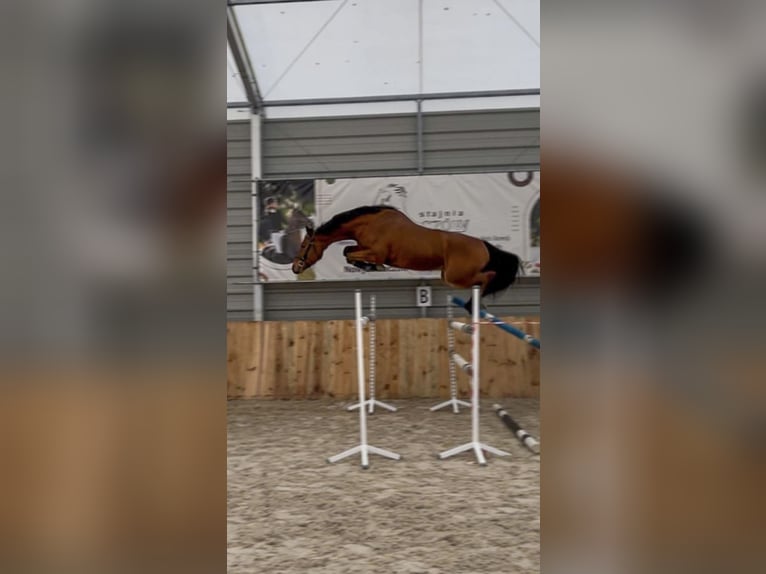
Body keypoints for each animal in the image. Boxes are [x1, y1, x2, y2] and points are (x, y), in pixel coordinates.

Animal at [291, 205, 520, 310]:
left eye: (303, 245)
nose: (295, 267)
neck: (369, 223)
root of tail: (483, 245)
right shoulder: (363, 246)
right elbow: (347, 250)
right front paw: (367, 266)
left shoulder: (376, 252)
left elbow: (351, 253)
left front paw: (374, 267)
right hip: (449, 276)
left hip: (457, 277)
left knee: (488, 276)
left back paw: (472, 305)